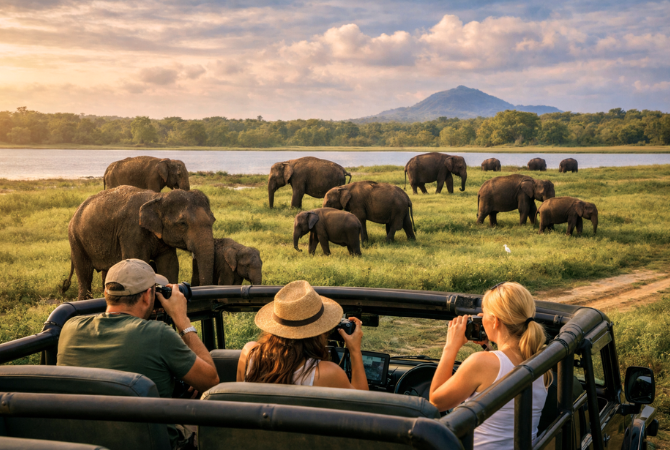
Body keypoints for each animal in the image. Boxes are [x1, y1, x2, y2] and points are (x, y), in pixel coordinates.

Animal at [62, 186, 215, 299]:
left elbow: (169, 264)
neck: (158, 198)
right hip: (76, 239)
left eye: (213, 220)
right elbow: (137, 262)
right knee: (84, 273)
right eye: (182, 223)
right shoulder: (132, 232)